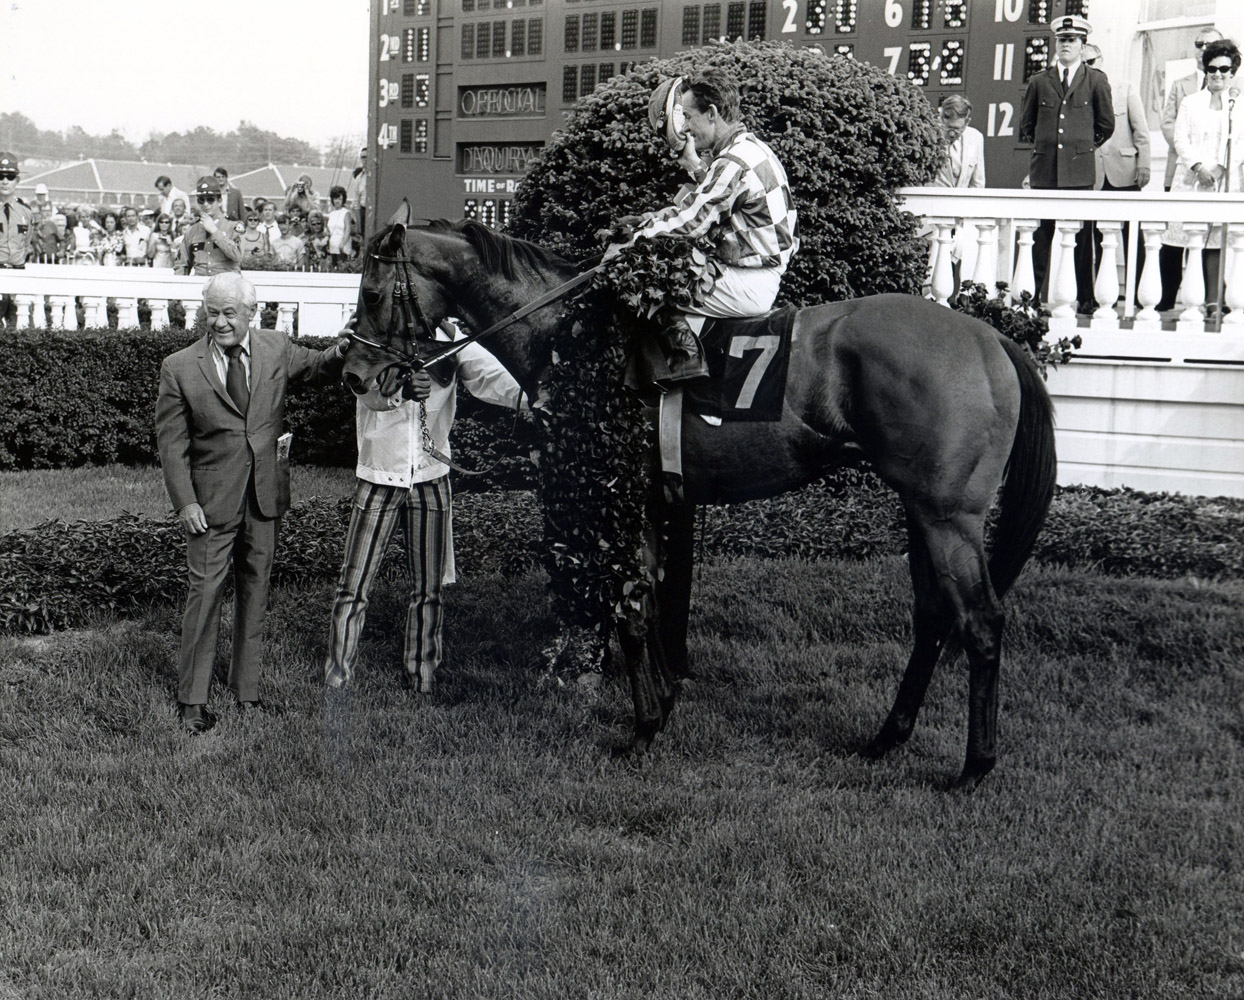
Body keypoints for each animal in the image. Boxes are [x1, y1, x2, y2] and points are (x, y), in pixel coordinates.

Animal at [345, 208, 1054, 791]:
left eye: (372, 293)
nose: (353, 373)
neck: (568, 334)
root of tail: (992, 339)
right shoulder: (661, 500)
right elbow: (656, 598)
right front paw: (663, 706)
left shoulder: (620, 493)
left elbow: (632, 608)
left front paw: (642, 730)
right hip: (918, 510)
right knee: (933, 616)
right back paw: (886, 739)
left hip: (948, 515)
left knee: (981, 622)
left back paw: (974, 767)